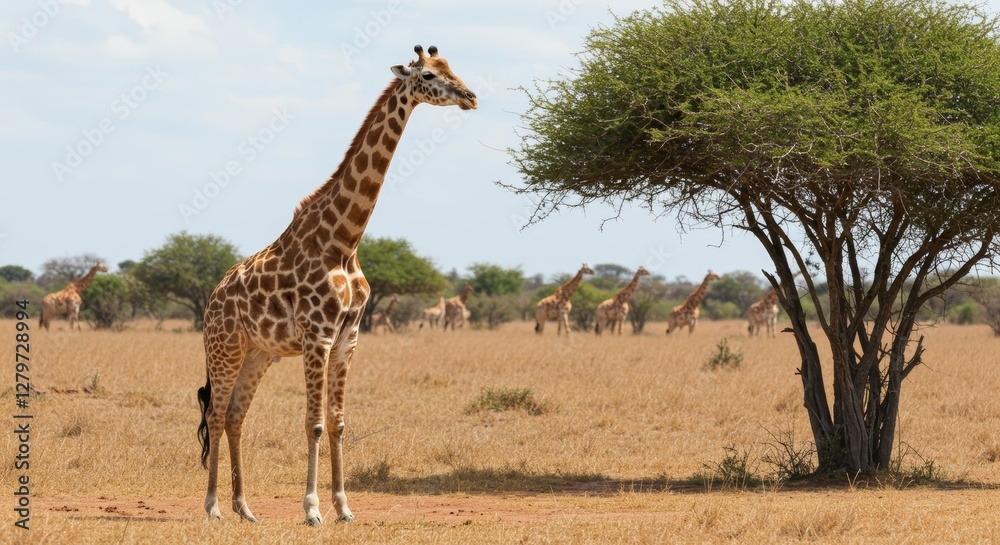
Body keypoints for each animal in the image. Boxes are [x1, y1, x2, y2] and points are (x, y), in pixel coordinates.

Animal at [196, 45, 477, 526]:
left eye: (451, 68)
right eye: (426, 75)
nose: (470, 96)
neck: (344, 240)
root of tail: (212, 299)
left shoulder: (349, 337)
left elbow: (339, 422)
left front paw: (344, 507)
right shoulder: (318, 336)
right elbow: (313, 423)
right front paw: (312, 509)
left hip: (259, 353)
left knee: (234, 416)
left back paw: (244, 508)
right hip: (225, 347)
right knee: (214, 414)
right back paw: (213, 506)